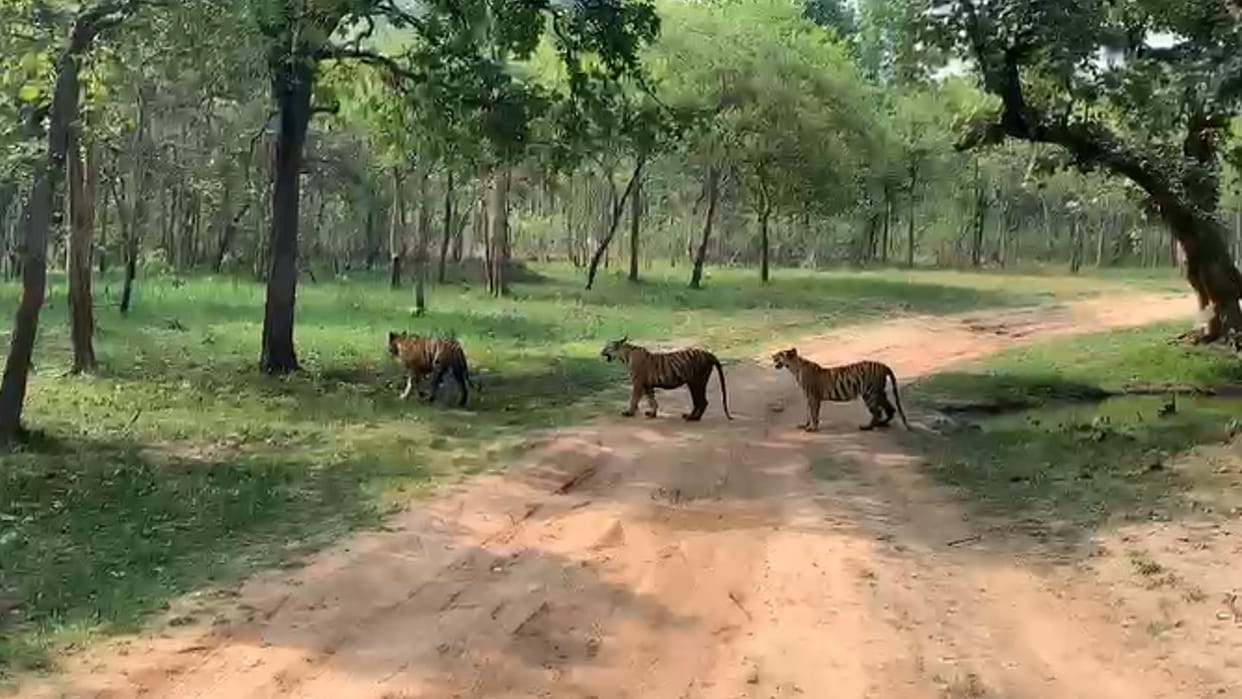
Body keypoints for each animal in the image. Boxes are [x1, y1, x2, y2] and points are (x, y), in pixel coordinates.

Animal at [600, 337, 732, 421]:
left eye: (607, 347)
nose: (601, 351)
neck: (625, 355)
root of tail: (709, 353)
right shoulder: (647, 385)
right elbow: (651, 400)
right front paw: (652, 413)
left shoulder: (638, 383)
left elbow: (634, 399)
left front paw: (629, 412)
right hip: (697, 382)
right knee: (700, 402)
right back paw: (692, 416)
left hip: (696, 382)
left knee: (701, 401)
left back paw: (692, 418)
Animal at [771, 348, 909, 432]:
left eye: (779, 354)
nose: (772, 355)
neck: (794, 368)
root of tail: (884, 365)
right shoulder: (809, 397)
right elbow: (808, 413)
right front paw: (805, 425)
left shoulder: (813, 396)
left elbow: (813, 413)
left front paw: (813, 428)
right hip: (879, 392)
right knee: (890, 409)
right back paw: (882, 423)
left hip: (869, 393)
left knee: (877, 411)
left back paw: (867, 427)